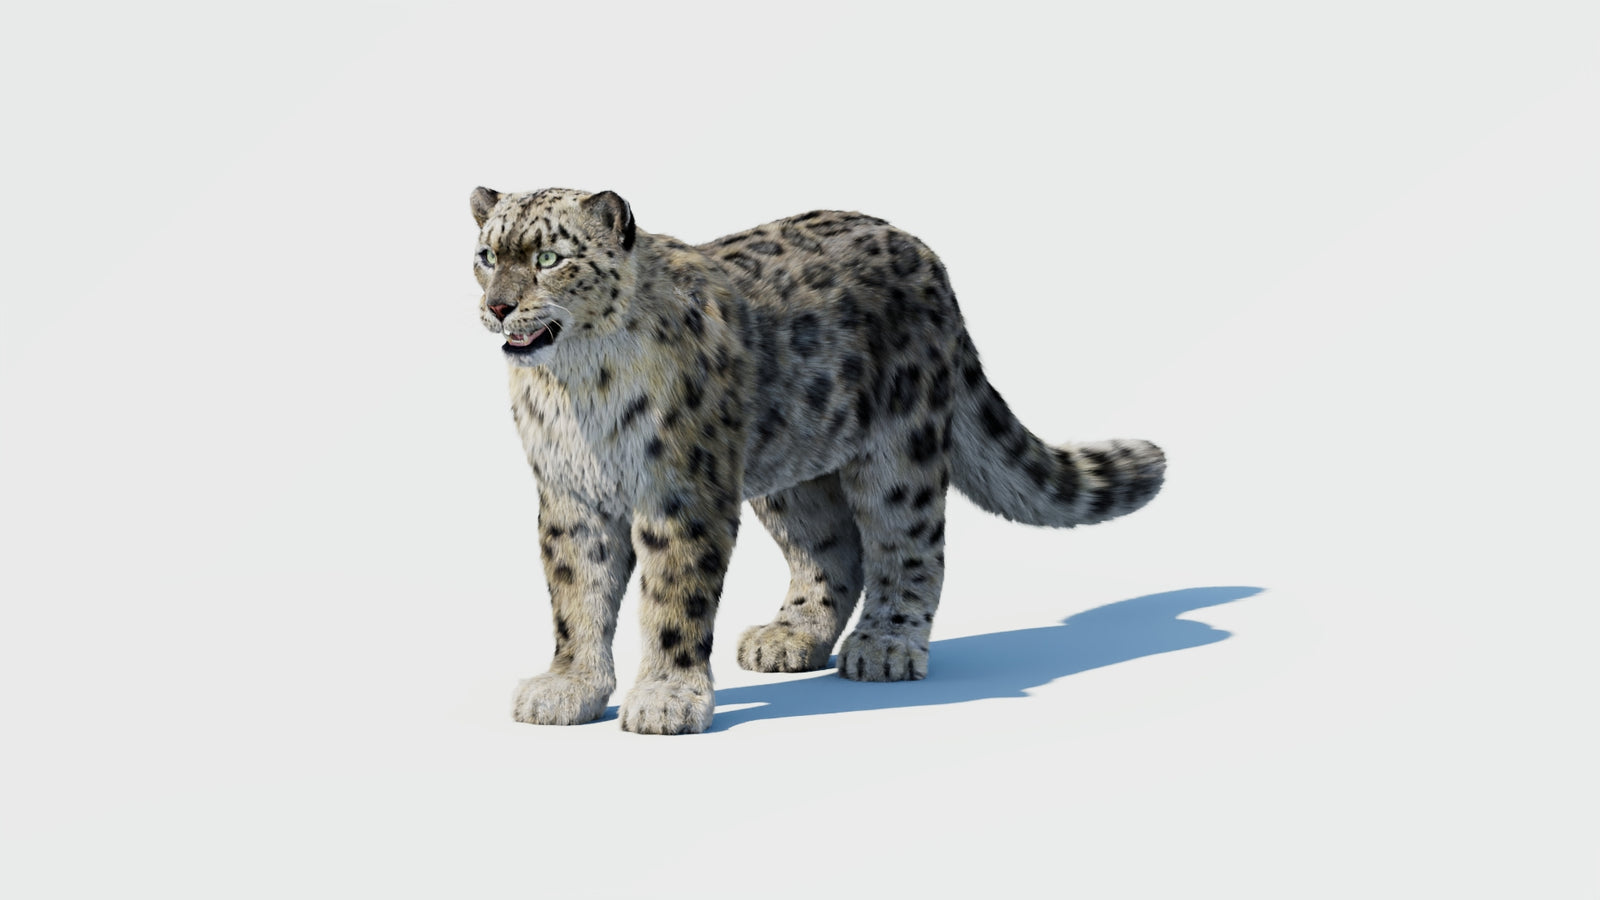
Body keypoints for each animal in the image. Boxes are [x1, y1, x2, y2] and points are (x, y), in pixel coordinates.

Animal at [469, 186, 1165, 735]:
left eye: (549, 259)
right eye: (486, 256)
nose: (498, 306)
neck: (576, 391)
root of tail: (922, 251)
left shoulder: (681, 492)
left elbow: (673, 597)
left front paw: (667, 699)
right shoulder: (571, 496)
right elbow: (576, 594)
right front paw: (569, 687)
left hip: (899, 453)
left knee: (909, 545)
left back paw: (885, 646)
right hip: (789, 469)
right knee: (831, 549)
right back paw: (790, 638)